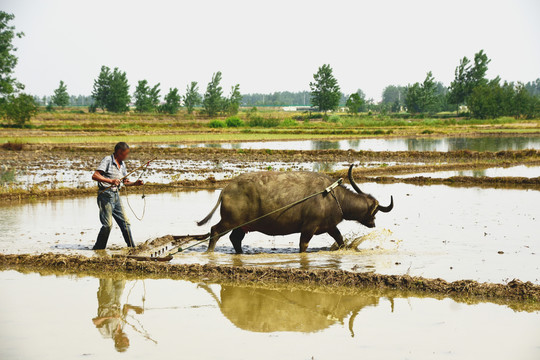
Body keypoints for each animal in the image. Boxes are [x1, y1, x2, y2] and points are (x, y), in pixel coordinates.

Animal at [197, 166, 392, 253]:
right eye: (375, 211)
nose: (373, 224)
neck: (333, 196)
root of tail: (225, 190)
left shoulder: (330, 227)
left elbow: (340, 239)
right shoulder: (309, 228)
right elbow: (303, 245)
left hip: (242, 225)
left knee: (235, 238)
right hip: (230, 221)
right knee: (215, 231)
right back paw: (209, 252)